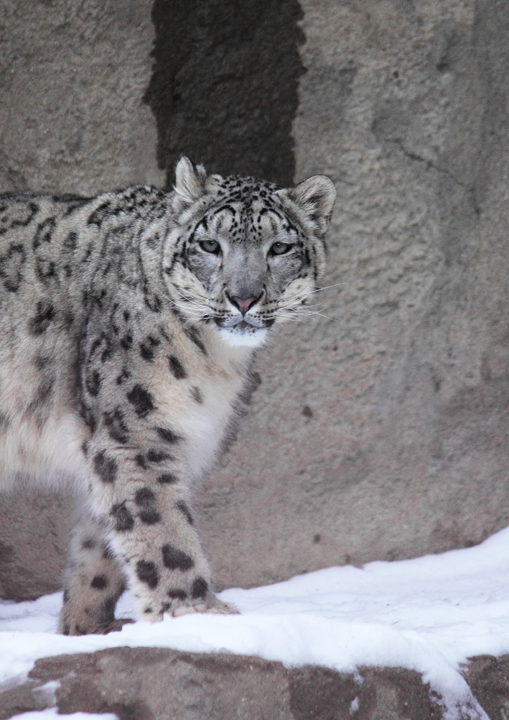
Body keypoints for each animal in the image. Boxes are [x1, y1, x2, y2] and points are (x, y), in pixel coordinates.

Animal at [0, 157, 336, 635]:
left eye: (280, 248)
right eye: (210, 245)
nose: (244, 298)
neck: (215, 363)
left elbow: (101, 542)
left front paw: (87, 628)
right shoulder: (133, 430)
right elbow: (160, 527)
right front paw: (197, 613)